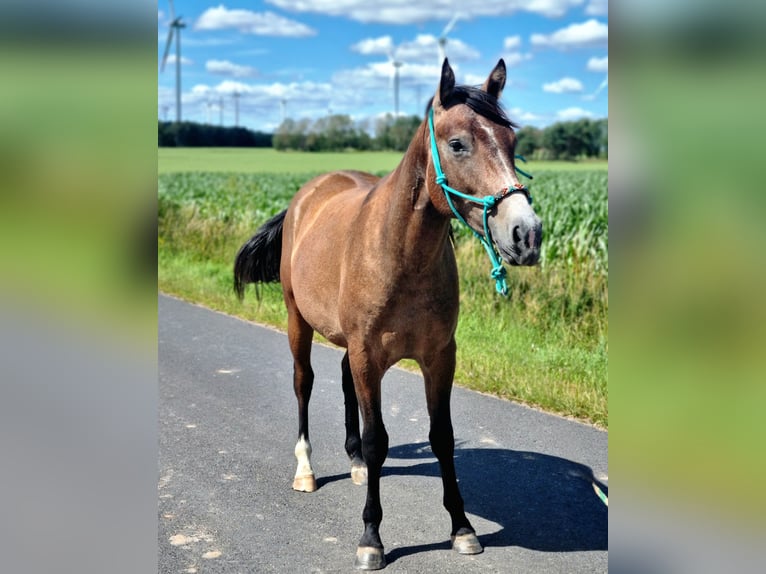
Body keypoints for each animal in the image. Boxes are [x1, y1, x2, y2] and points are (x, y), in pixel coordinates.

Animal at [237, 58, 544, 572]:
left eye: (511, 143)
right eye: (458, 144)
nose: (526, 234)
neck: (401, 254)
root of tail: (309, 192)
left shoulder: (439, 356)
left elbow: (442, 436)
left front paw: (462, 528)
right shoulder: (369, 356)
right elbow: (377, 437)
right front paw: (371, 537)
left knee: (343, 383)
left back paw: (356, 465)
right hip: (298, 321)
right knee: (304, 383)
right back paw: (306, 469)